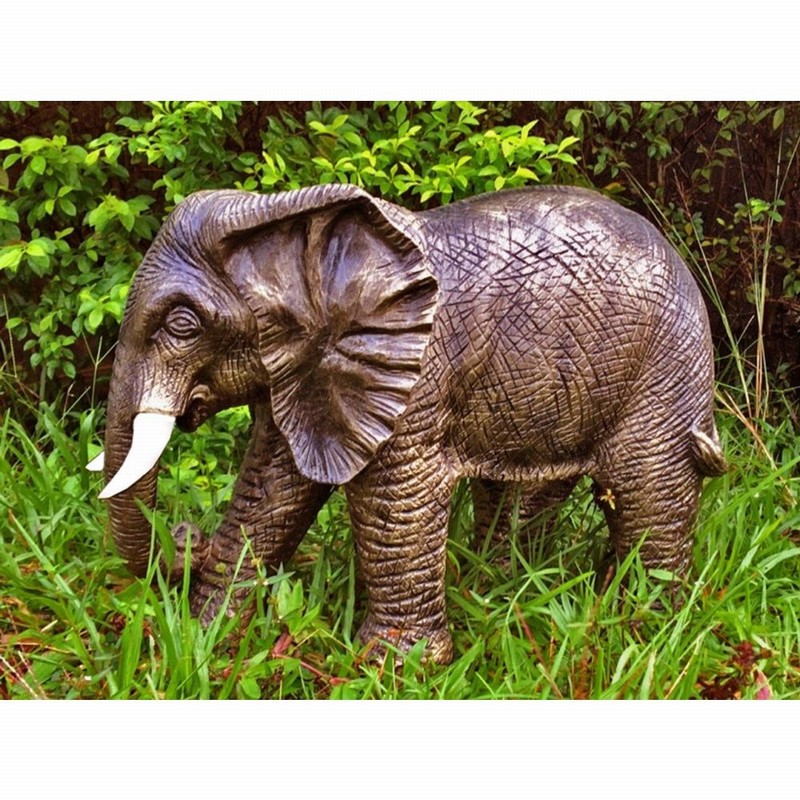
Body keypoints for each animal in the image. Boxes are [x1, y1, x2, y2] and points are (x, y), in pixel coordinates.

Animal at [88, 183, 728, 664]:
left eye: (182, 325)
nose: (184, 535)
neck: (283, 218)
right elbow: (273, 488)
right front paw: (204, 635)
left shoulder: (415, 369)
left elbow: (393, 496)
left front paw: (394, 669)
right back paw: (504, 588)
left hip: (665, 366)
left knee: (649, 484)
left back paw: (644, 626)